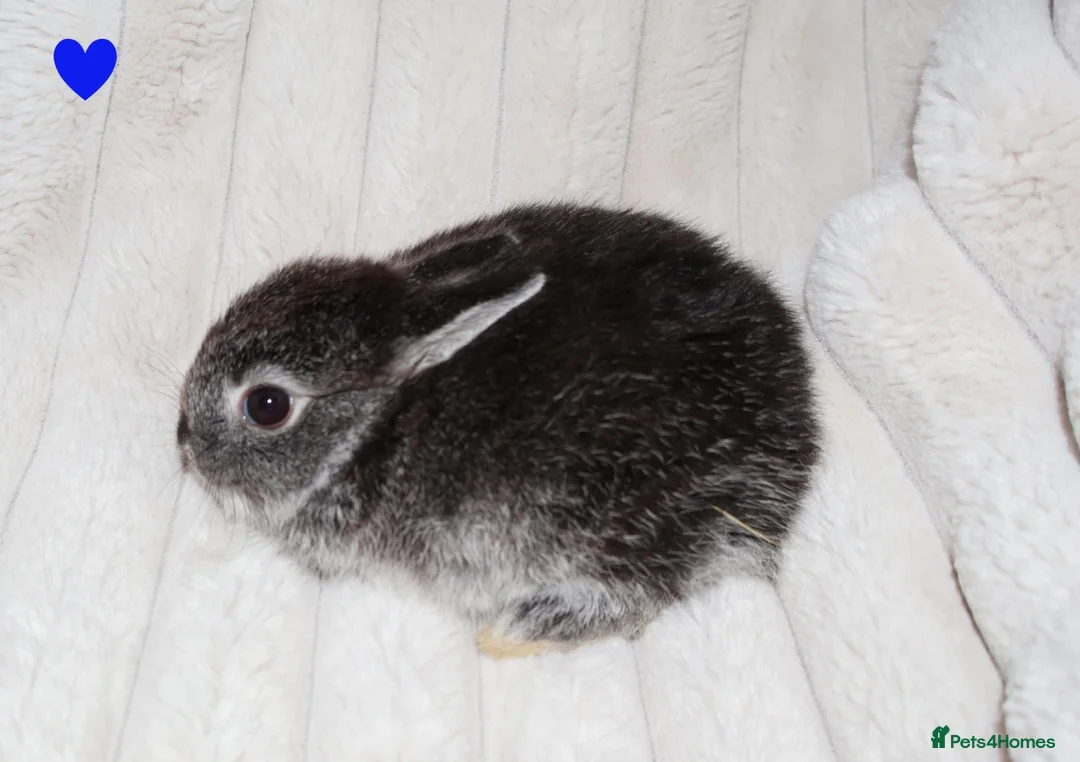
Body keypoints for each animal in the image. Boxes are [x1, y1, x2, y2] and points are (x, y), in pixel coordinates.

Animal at [177, 202, 822, 658]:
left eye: (266, 405)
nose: (184, 443)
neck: (374, 424)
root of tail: (794, 428)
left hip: (628, 527)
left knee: (635, 599)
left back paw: (507, 634)